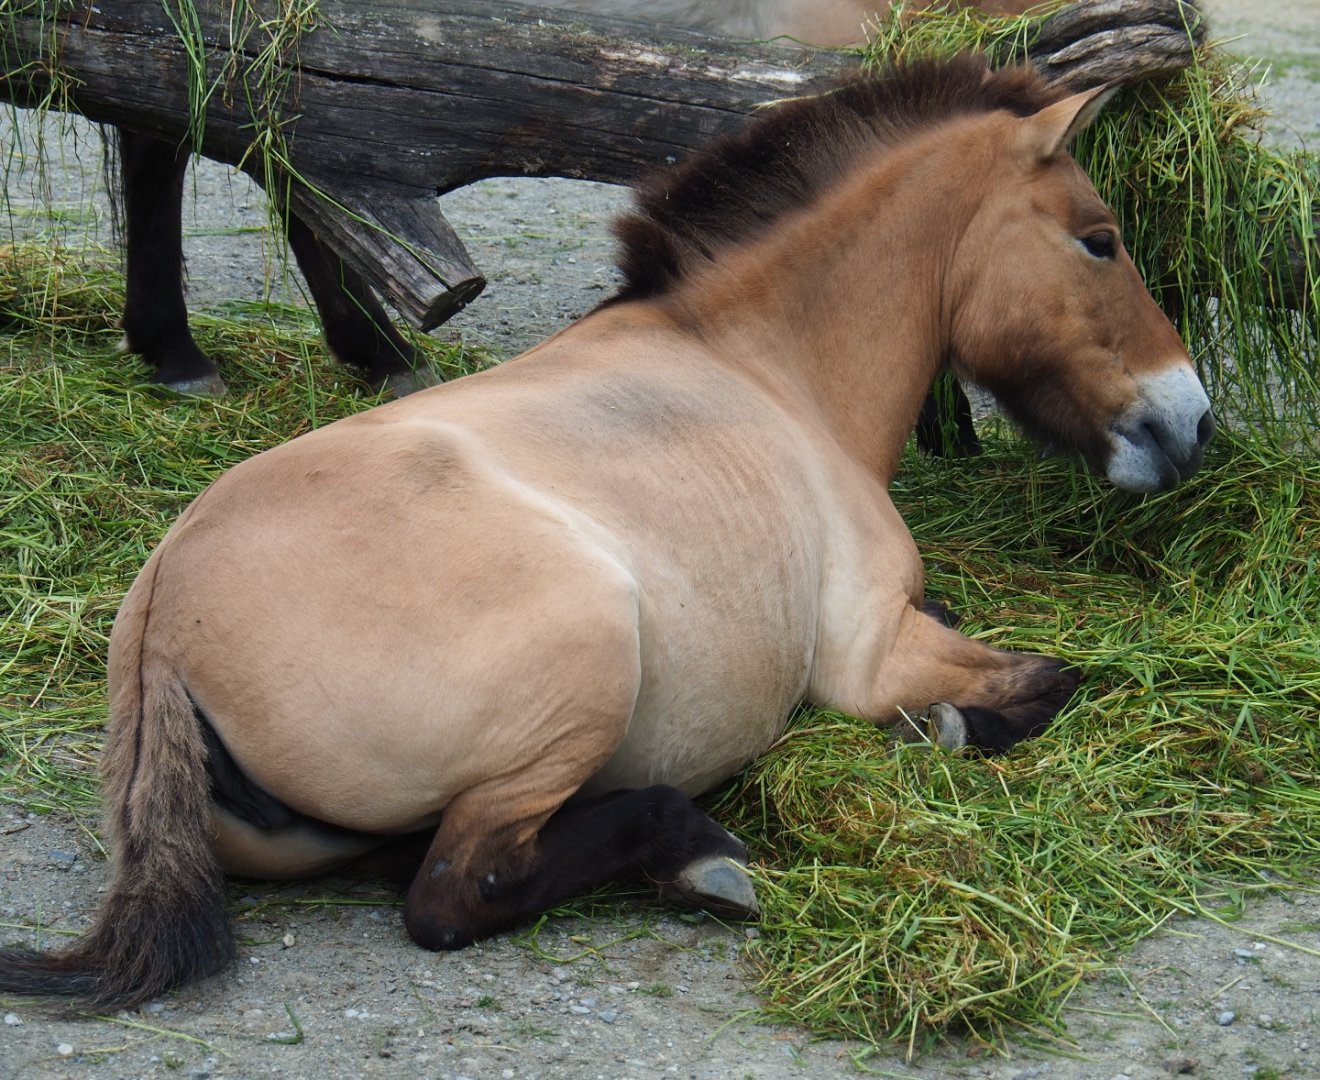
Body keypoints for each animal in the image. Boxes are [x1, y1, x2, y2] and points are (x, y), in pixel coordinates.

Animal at [1, 53, 1214, 1012]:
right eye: (1100, 241)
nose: (1194, 421)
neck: (764, 371)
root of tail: (161, 628)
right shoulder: (873, 656)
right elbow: (1050, 680)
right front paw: (955, 728)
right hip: (588, 664)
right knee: (456, 889)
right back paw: (699, 855)